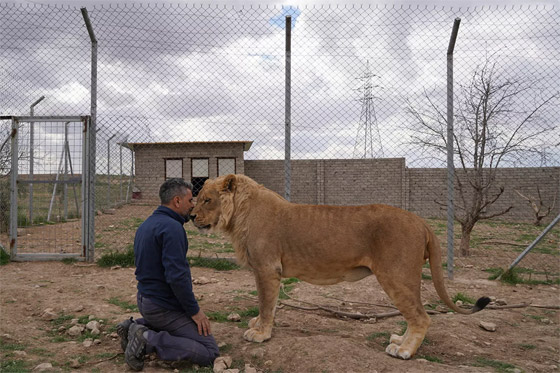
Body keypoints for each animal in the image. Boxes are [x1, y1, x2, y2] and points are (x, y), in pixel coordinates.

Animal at [189, 173, 490, 358]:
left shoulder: (267, 268)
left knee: (421, 317)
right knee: (415, 314)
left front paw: (260, 333)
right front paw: (260, 325)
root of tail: (421, 221)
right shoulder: (267, 271)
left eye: (207, 199)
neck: (239, 215)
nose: (190, 216)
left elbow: (265, 303)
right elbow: (270, 305)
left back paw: (404, 351)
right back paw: (398, 341)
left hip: (396, 275)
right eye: (197, 198)